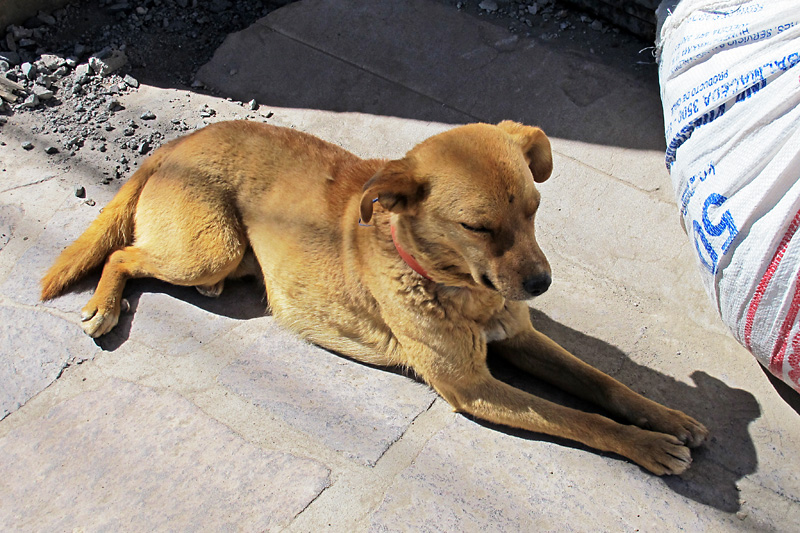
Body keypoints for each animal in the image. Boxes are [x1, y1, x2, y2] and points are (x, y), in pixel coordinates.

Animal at [40, 120, 708, 474]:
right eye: (478, 227)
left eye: (535, 211)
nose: (542, 284)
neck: (458, 289)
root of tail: (178, 142)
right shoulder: (473, 387)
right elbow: (579, 418)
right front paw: (646, 446)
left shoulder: (520, 337)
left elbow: (605, 385)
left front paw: (666, 417)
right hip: (211, 246)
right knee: (124, 255)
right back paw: (104, 304)